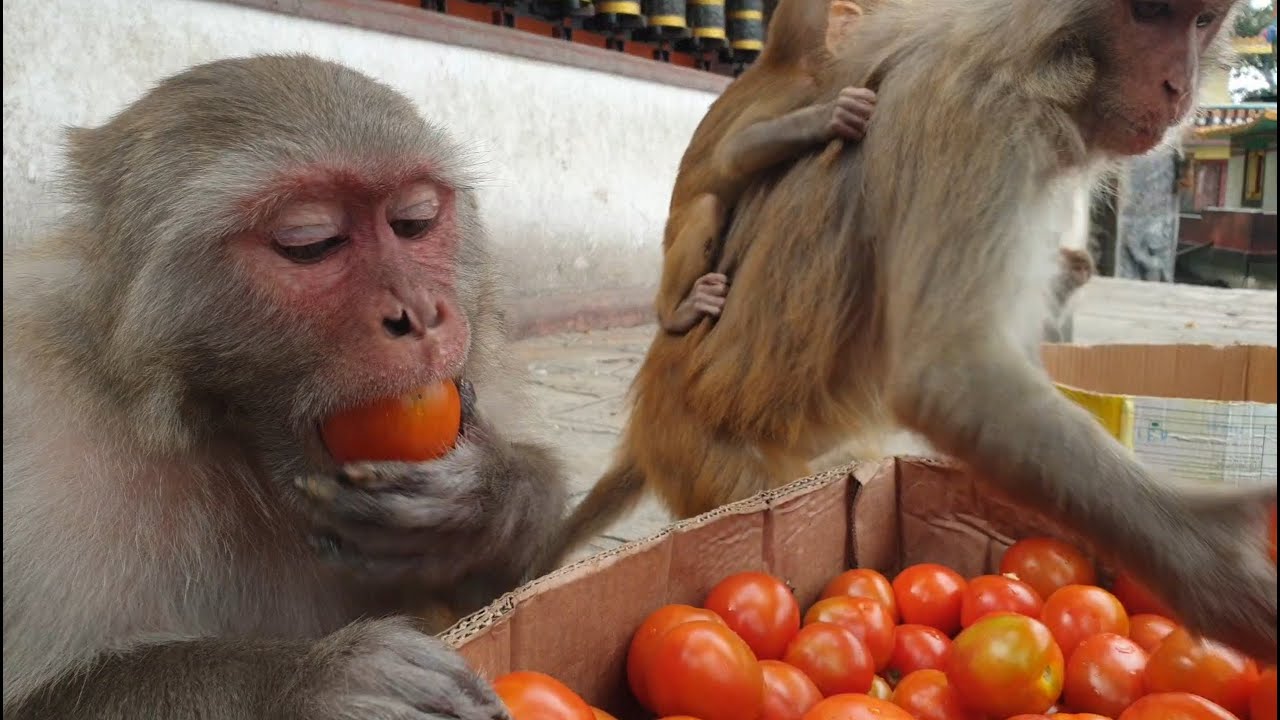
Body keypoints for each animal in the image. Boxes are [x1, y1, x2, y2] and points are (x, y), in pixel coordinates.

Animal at [2, 54, 569, 718]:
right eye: (310, 242)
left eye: (414, 222)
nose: (421, 315)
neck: (228, 436)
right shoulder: (40, 439)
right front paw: (320, 681)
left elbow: (512, 594)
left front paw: (477, 506)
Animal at [655, 0, 879, 334]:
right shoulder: (802, 90)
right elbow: (733, 152)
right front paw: (832, 116)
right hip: (673, 231)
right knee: (706, 206)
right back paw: (673, 311)